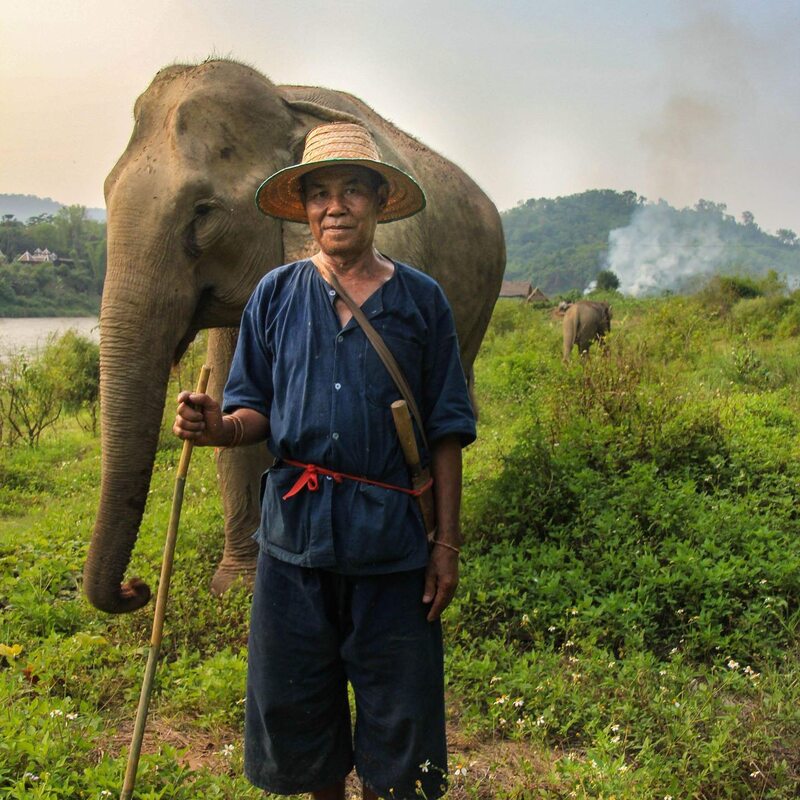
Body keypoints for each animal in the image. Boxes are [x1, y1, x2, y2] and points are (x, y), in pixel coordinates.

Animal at [81, 61, 506, 612]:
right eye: (105, 195)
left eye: (203, 213)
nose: (138, 587)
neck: (285, 98)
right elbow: (238, 397)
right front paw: (238, 586)